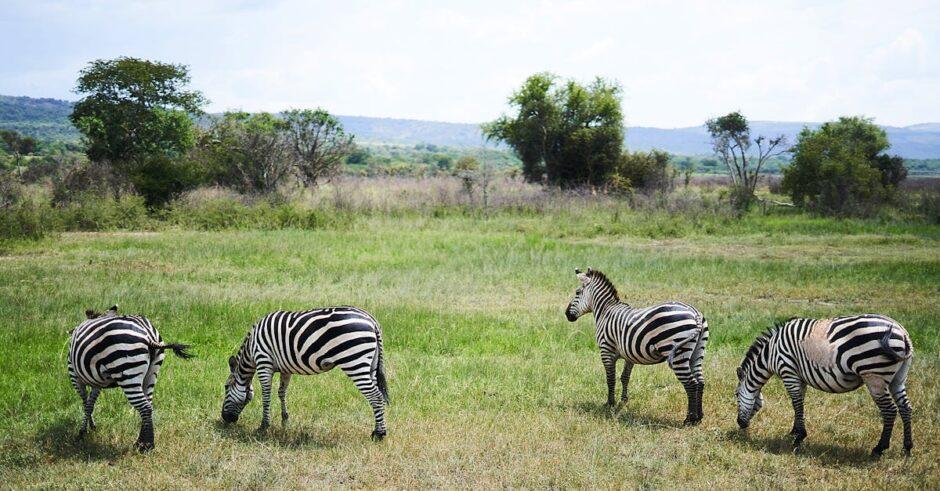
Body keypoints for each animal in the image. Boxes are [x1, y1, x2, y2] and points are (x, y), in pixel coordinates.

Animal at [67, 306, 193, 452]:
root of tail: (148, 334)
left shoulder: (74, 375)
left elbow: (85, 403)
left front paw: (82, 432)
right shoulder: (97, 383)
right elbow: (90, 403)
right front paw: (91, 426)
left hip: (127, 372)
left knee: (144, 407)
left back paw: (146, 446)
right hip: (152, 373)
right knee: (148, 404)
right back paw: (140, 443)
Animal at [221, 308, 390, 442]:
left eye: (225, 387)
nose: (224, 418)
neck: (251, 349)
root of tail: (371, 319)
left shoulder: (264, 363)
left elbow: (266, 396)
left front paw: (263, 426)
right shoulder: (285, 368)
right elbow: (281, 392)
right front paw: (285, 420)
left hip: (355, 361)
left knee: (375, 396)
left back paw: (379, 435)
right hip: (371, 365)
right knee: (378, 396)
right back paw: (377, 430)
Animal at [560, 268, 708, 424]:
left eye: (577, 292)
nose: (567, 314)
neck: (605, 311)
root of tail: (695, 313)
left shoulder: (606, 351)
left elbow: (610, 378)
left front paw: (610, 404)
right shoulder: (629, 354)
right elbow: (625, 377)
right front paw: (623, 401)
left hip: (678, 353)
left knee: (691, 383)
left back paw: (689, 419)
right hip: (697, 352)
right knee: (700, 381)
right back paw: (699, 417)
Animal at [740, 316, 916, 458]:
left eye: (736, 396)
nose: (740, 424)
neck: (770, 353)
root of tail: (902, 331)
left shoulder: (788, 371)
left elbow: (796, 403)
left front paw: (798, 438)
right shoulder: (799, 377)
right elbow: (799, 404)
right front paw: (794, 432)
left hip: (875, 376)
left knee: (890, 410)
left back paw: (879, 449)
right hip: (898, 379)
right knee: (905, 407)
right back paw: (907, 448)